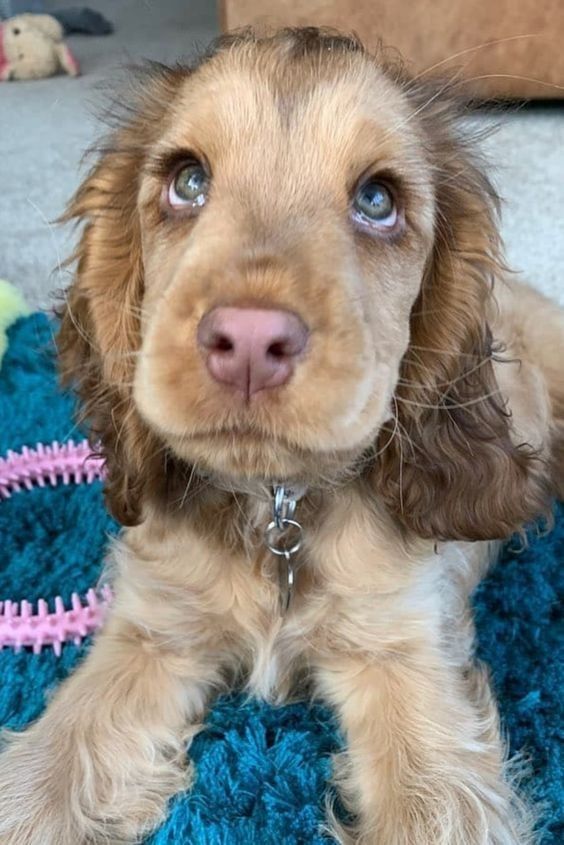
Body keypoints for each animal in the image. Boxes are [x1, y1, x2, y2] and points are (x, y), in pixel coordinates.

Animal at [1, 26, 564, 844]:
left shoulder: (405, 660)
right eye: (188, 181)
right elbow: (35, 784)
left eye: (376, 200)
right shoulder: (151, 634)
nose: (247, 342)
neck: (275, 508)